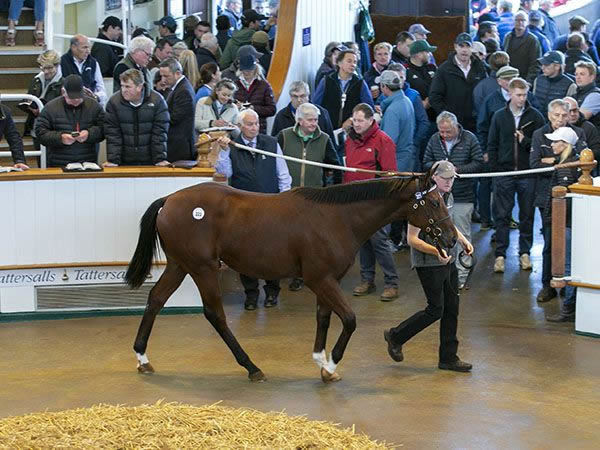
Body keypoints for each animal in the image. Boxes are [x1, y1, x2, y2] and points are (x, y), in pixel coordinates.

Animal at [125, 172, 454, 384]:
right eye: (434, 202)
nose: (451, 239)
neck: (337, 219)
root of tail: (169, 200)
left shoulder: (328, 279)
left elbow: (324, 318)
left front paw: (322, 363)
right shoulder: (319, 279)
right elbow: (349, 319)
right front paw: (331, 362)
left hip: (180, 265)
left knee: (156, 299)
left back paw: (143, 358)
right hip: (202, 268)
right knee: (214, 314)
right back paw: (252, 367)